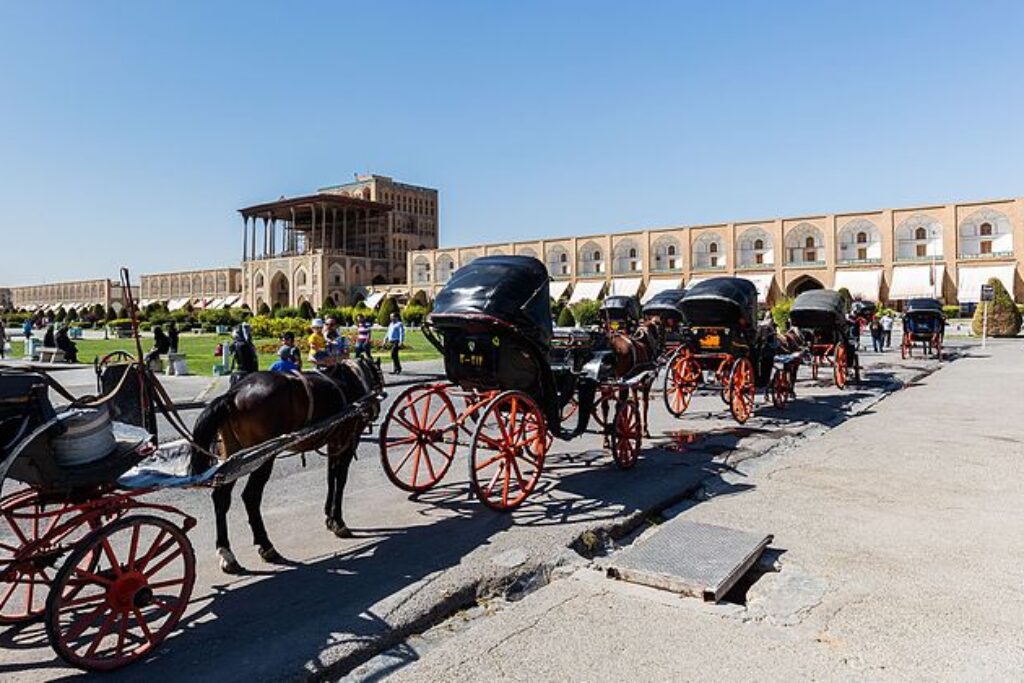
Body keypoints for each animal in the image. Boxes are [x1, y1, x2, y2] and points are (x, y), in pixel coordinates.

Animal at [187, 356, 380, 573]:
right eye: (378, 377)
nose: (376, 409)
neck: (354, 378)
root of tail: (233, 393)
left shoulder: (334, 439)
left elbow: (331, 477)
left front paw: (329, 517)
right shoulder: (349, 438)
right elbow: (341, 478)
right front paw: (338, 521)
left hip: (234, 456)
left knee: (221, 498)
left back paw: (226, 553)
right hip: (263, 456)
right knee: (251, 497)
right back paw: (266, 546)